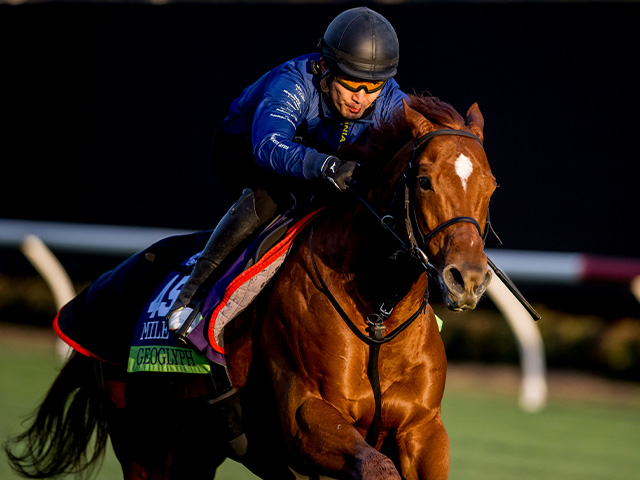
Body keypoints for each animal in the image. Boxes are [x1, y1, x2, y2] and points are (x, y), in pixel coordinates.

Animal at [3, 94, 496, 480]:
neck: (378, 315)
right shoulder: (306, 419)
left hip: (196, 450)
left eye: (490, 185)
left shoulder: (423, 429)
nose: (467, 280)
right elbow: (375, 465)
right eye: (425, 180)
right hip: (147, 444)